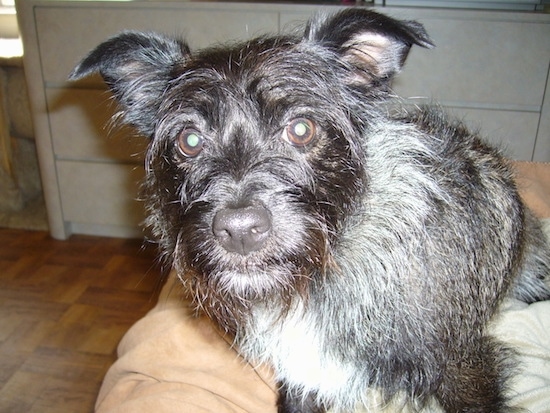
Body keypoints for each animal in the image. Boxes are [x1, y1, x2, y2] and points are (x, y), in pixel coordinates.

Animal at [70, 9, 550, 412]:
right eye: (189, 140)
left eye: (302, 128)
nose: (239, 230)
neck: (319, 276)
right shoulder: (304, 381)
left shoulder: (466, 367)